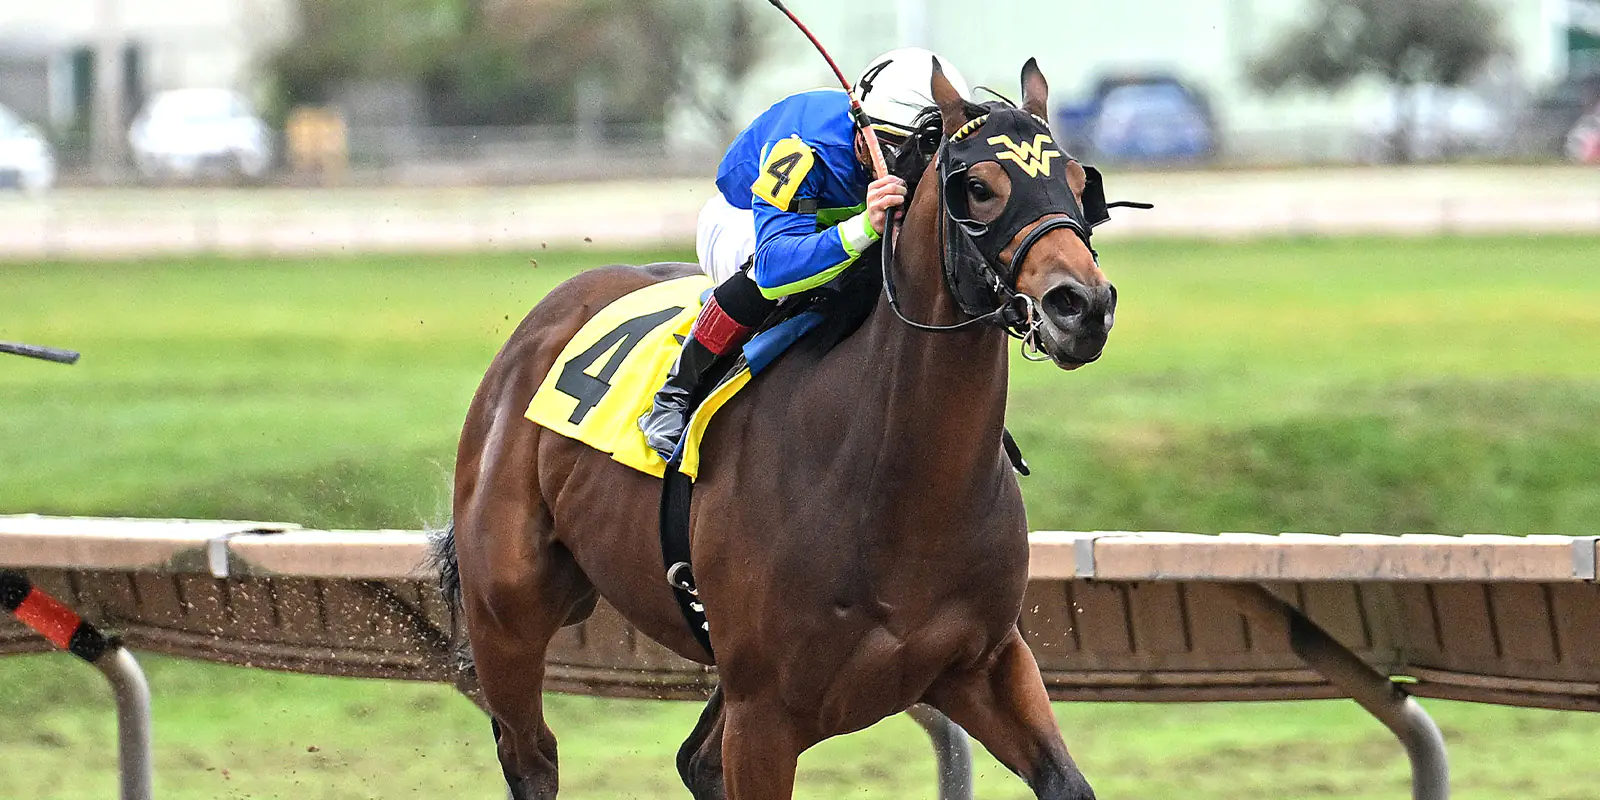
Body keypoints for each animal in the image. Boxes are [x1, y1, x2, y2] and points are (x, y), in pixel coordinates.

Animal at [434, 60, 1115, 800]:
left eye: (1076, 181)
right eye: (981, 187)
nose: (1083, 305)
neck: (890, 486)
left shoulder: (982, 664)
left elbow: (1066, 782)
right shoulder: (765, 712)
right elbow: (779, 257)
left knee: (694, 760)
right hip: (507, 613)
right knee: (532, 756)